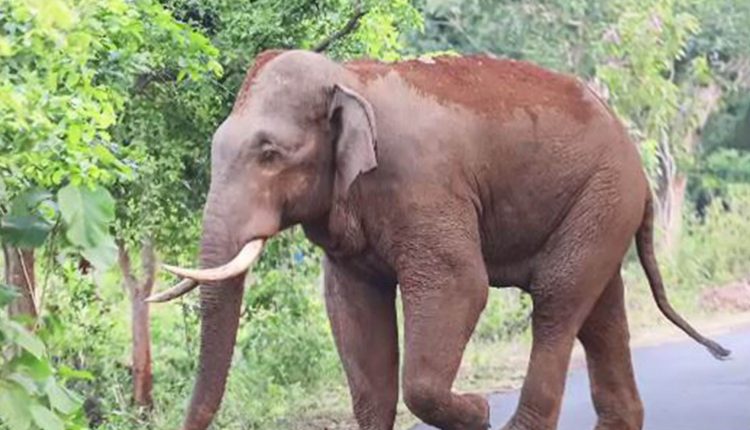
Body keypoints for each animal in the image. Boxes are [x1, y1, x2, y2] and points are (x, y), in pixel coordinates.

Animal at [150, 49, 730, 430]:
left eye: (269, 154)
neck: (350, 78)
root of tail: (637, 162)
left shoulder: (423, 185)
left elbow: (460, 286)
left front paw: (477, 412)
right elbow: (352, 311)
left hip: (604, 196)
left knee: (558, 302)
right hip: (601, 208)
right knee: (602, 316)